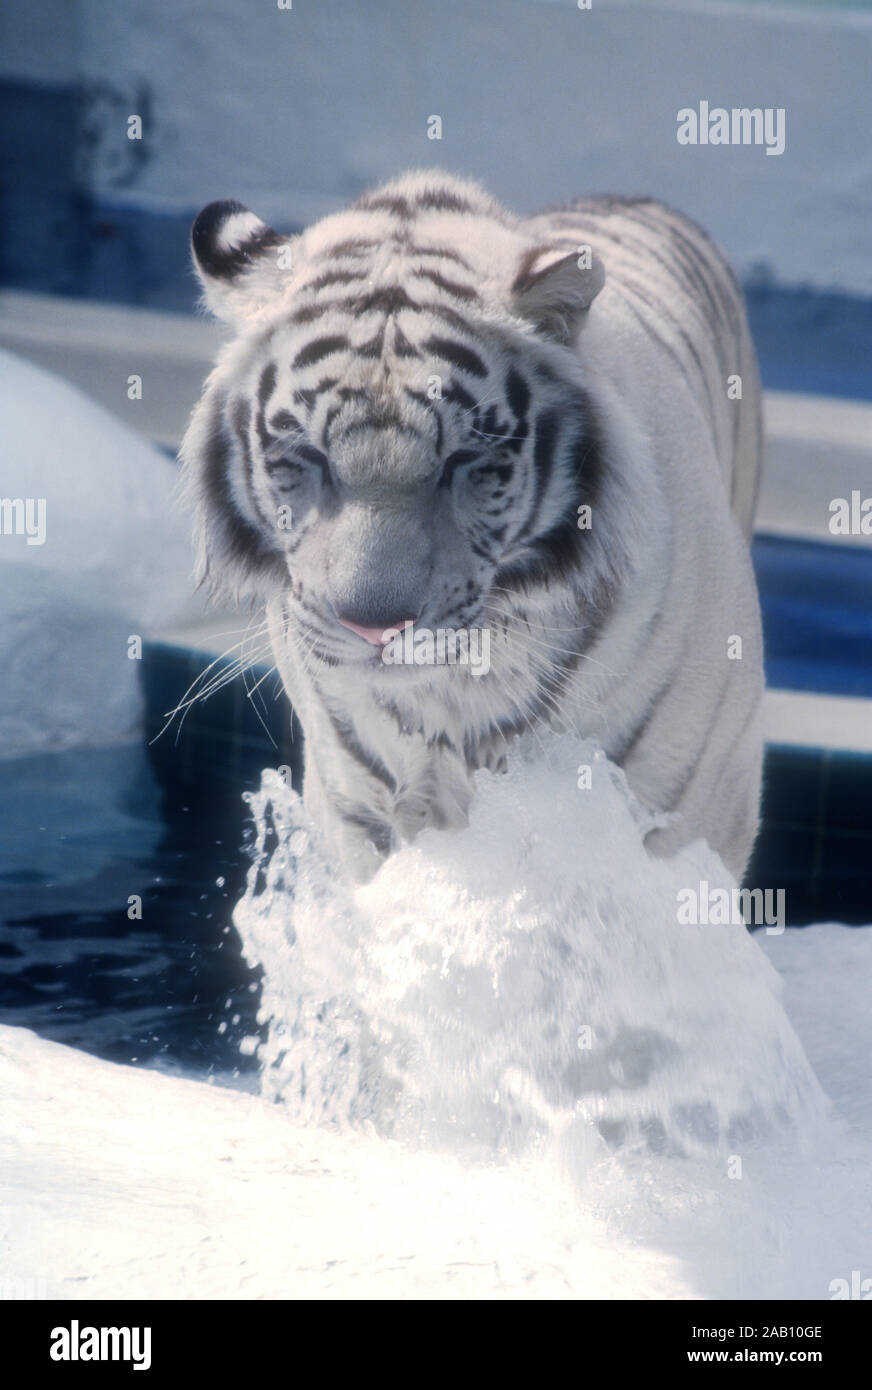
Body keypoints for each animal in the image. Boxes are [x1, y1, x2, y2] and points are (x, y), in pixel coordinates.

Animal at [182, 170, 762, 878]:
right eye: (308, 456)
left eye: (463, 458)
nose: (374, 627)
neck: (457, 694)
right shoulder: (356, 812)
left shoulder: (687, 806)